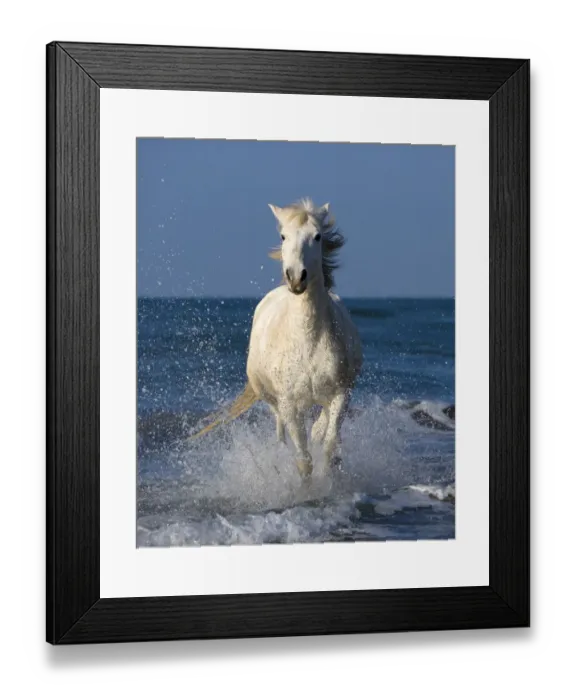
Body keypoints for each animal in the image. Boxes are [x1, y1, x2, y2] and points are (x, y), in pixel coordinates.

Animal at [191, 198, 363, 481]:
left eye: (317, 236)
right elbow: (303, 460)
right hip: (272, 399)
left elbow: (328, 445)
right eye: (283, 236)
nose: (296, 277)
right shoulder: (289, 403)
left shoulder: (340, 394)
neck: (307, 341)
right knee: (281, 430)